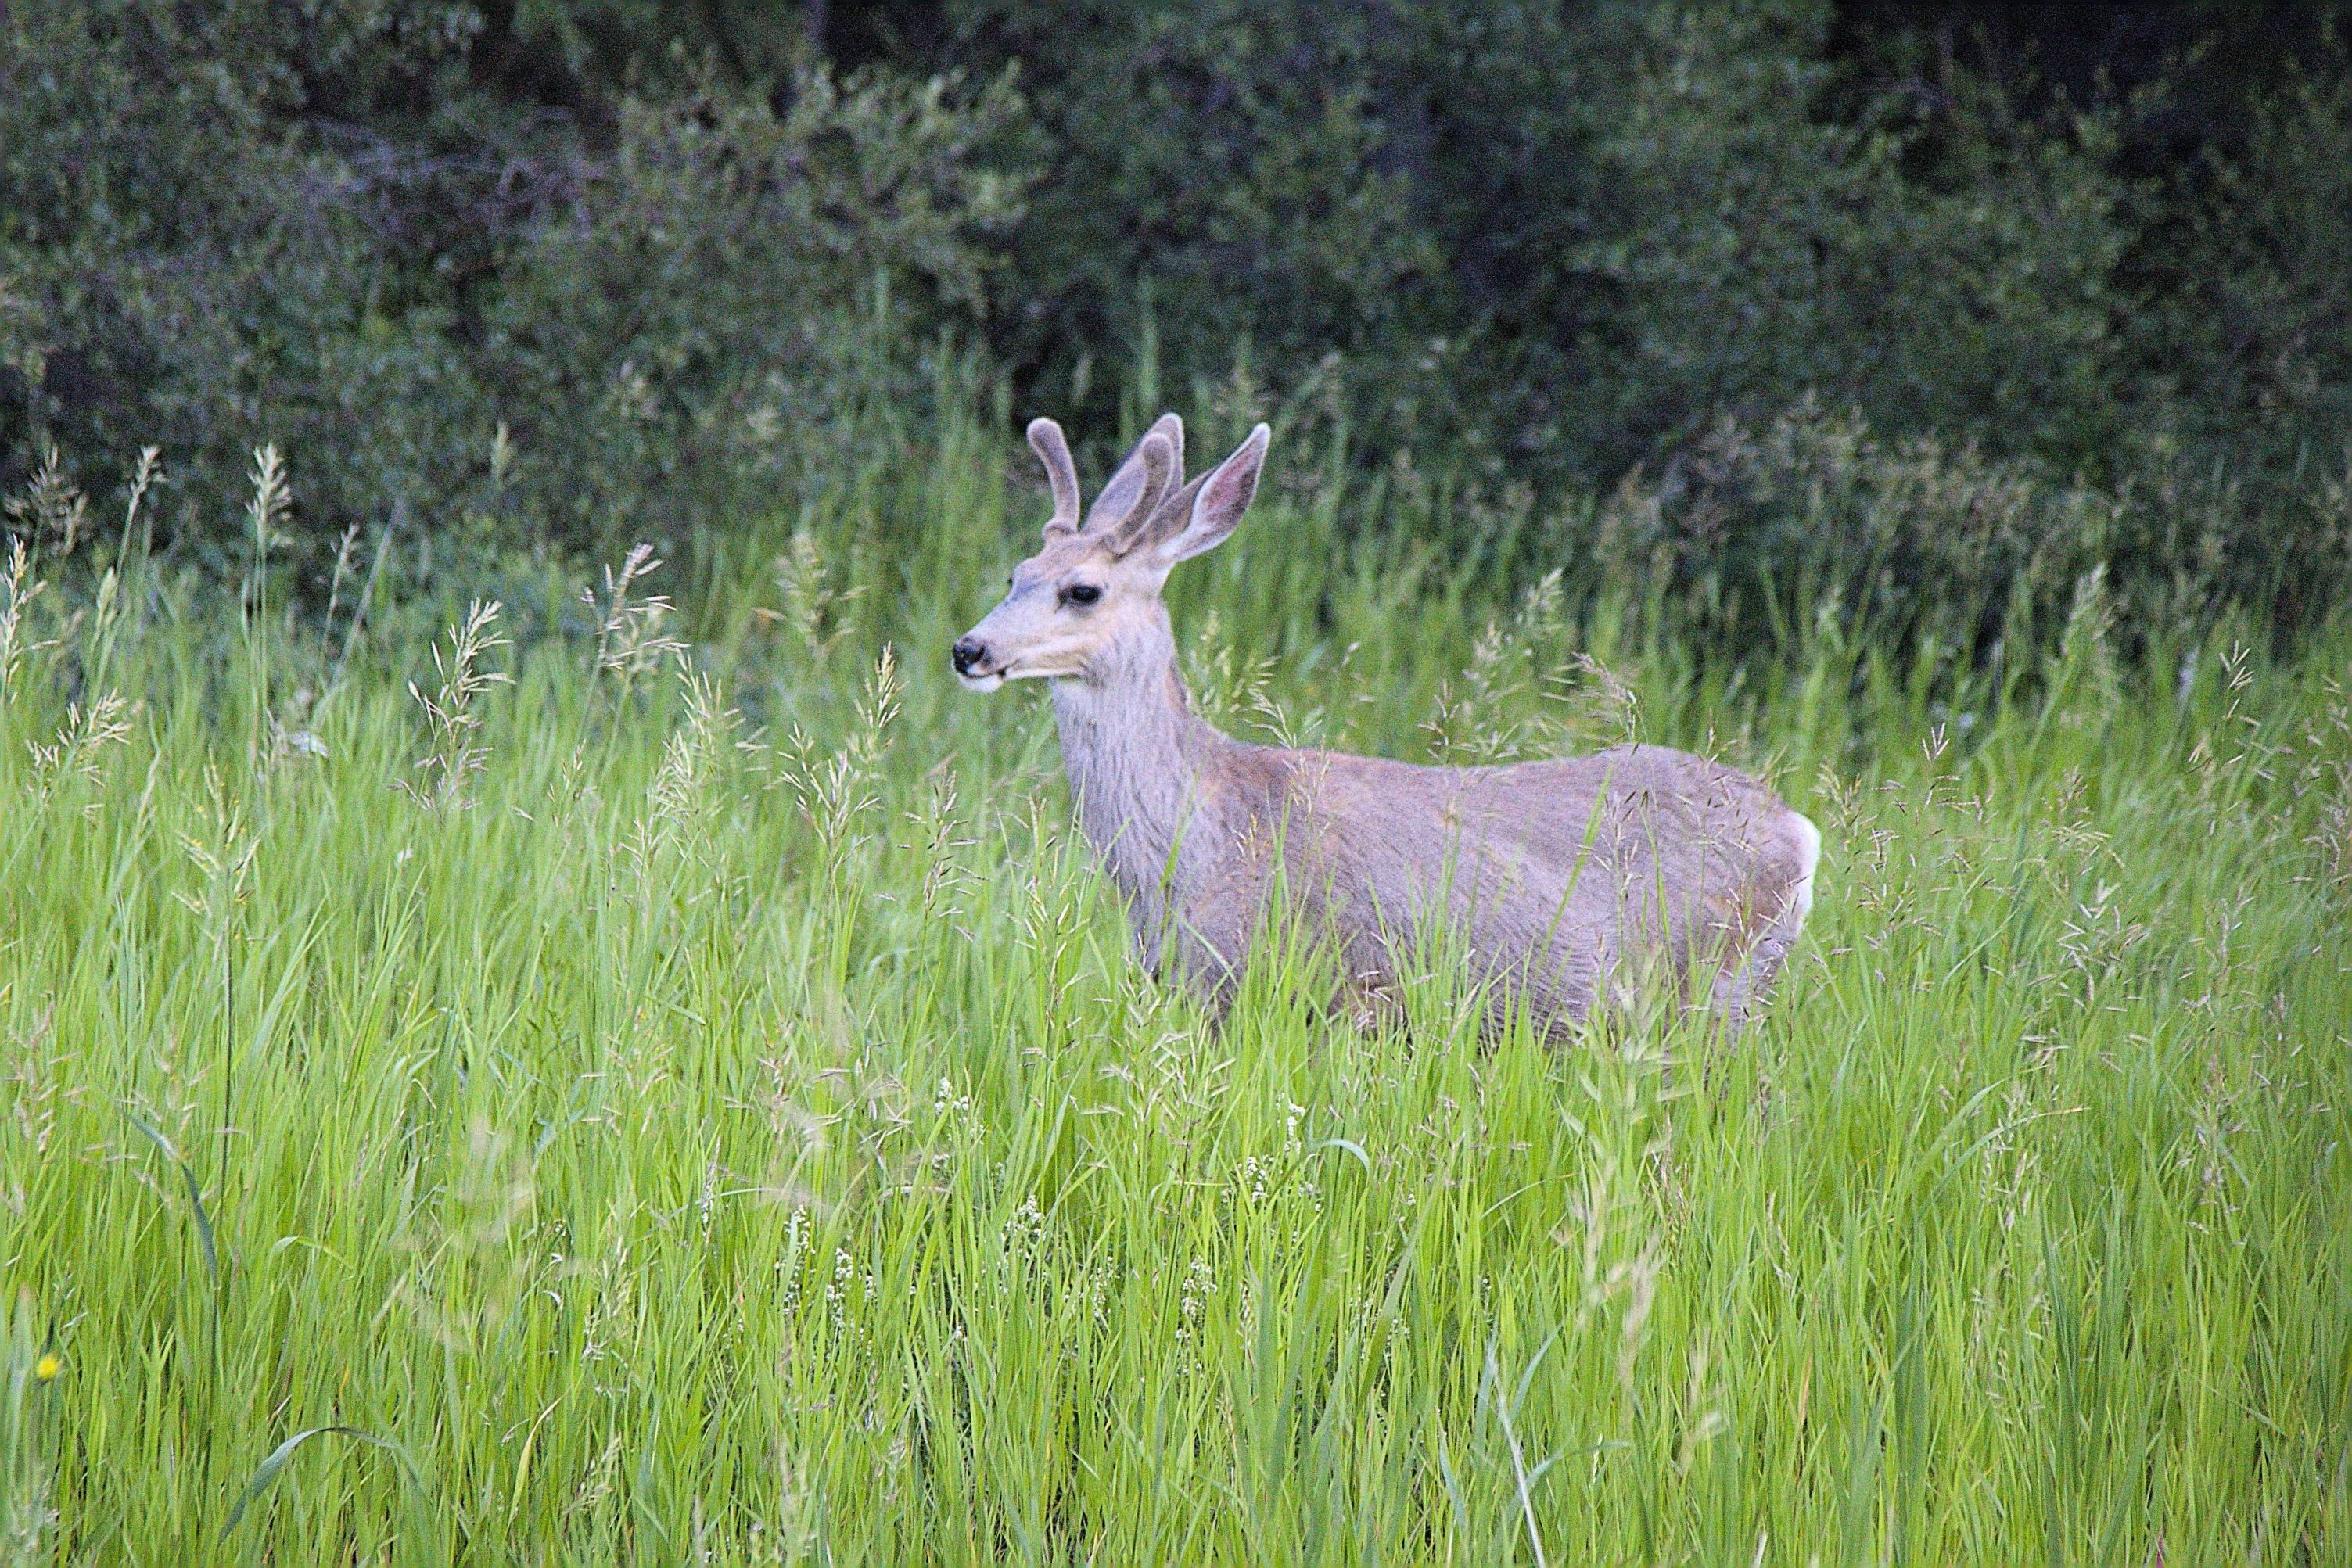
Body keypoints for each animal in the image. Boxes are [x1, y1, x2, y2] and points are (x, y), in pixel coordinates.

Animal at [952, 413, 1822, 1037]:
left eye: (1083, 590)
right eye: (1016, 573)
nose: (970, 649)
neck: (1195, 838)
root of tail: (1798, 831)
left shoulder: (1315, 984)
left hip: (1712, 986)